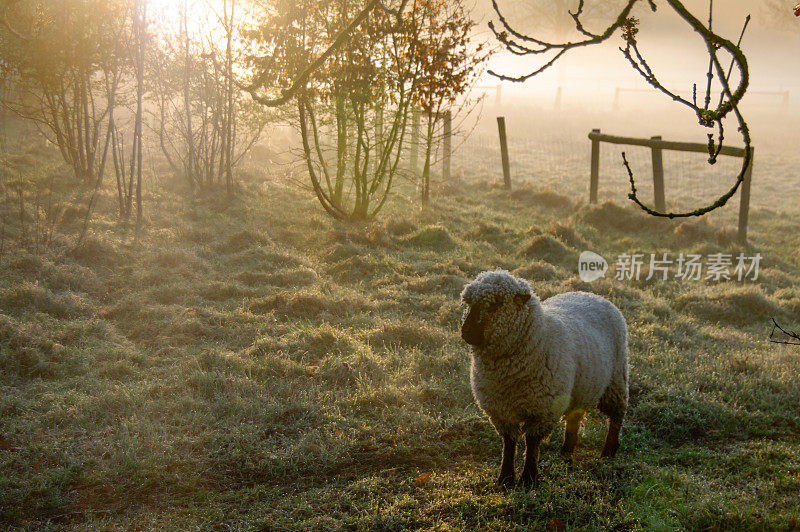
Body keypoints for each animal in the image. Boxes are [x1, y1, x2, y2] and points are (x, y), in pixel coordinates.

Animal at [460, 272, 628, 488]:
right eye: (469, 303)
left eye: (496, 303)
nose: (466, 332)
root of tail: (592, 294)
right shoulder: (500, 409)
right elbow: (509, 443)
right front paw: (506, 478)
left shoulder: (543, 409)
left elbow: (532, 442)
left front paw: (528, 478)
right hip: (579, 389)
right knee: (574, 420)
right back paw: (566, 454)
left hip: (616, 379)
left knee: (616, 415)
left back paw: (608, 452)